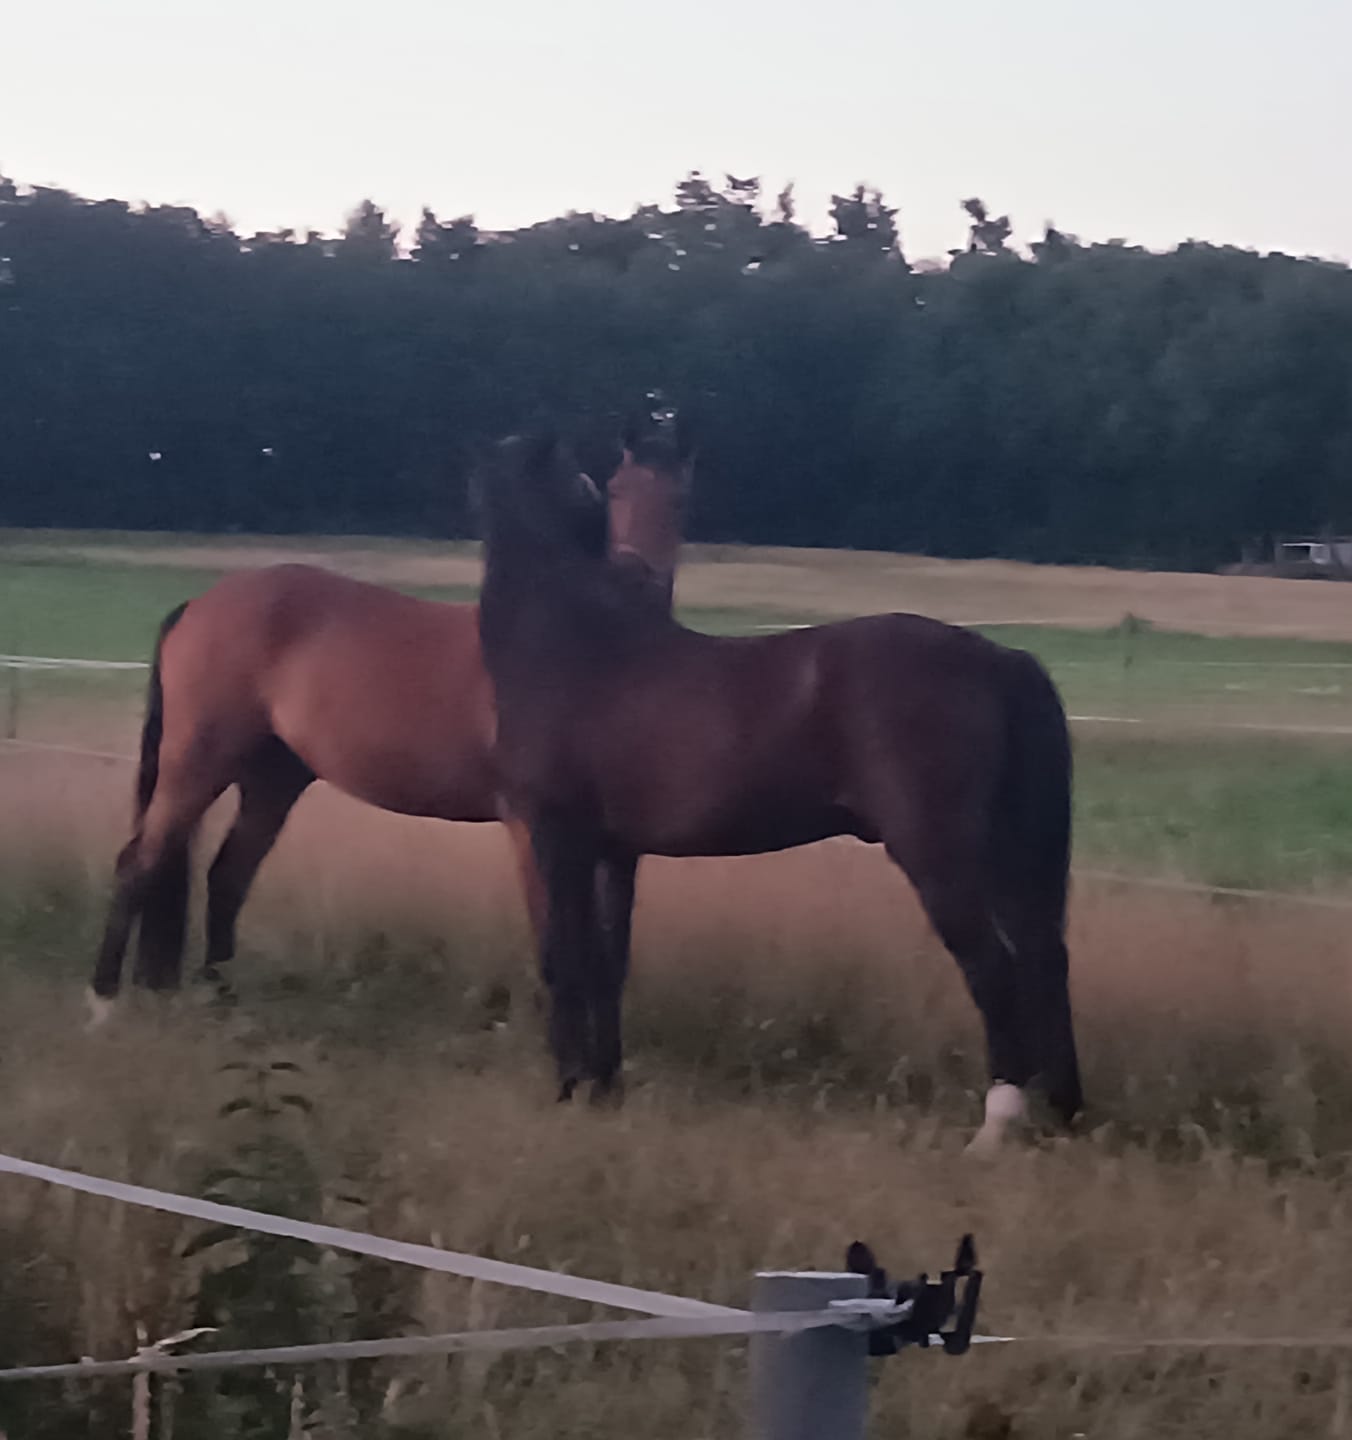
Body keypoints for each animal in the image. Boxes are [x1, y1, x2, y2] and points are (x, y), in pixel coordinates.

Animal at [87, 425, 694, 1021]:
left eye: (679, 496)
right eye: (610, 489)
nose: (634, 574)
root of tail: (198, 604)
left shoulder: (614, 844)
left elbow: (612, 952)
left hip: (272, 778)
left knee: (226, 876)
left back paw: (220, 998)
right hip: (200, 761)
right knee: (140, 862)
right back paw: (104, 1000)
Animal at [475, 433, 1081, 1152]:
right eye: (595, 485)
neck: (574, 648)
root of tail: (999, 660)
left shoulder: (557, 837)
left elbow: (564, 956)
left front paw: (570, 1089)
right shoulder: (614, 852)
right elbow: (605, 964)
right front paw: (605, 1089)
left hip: (941, 857)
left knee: (995, 970)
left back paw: (995, 1127)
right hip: (1011, 859)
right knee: (1044, 960)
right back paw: (1063, 1116)